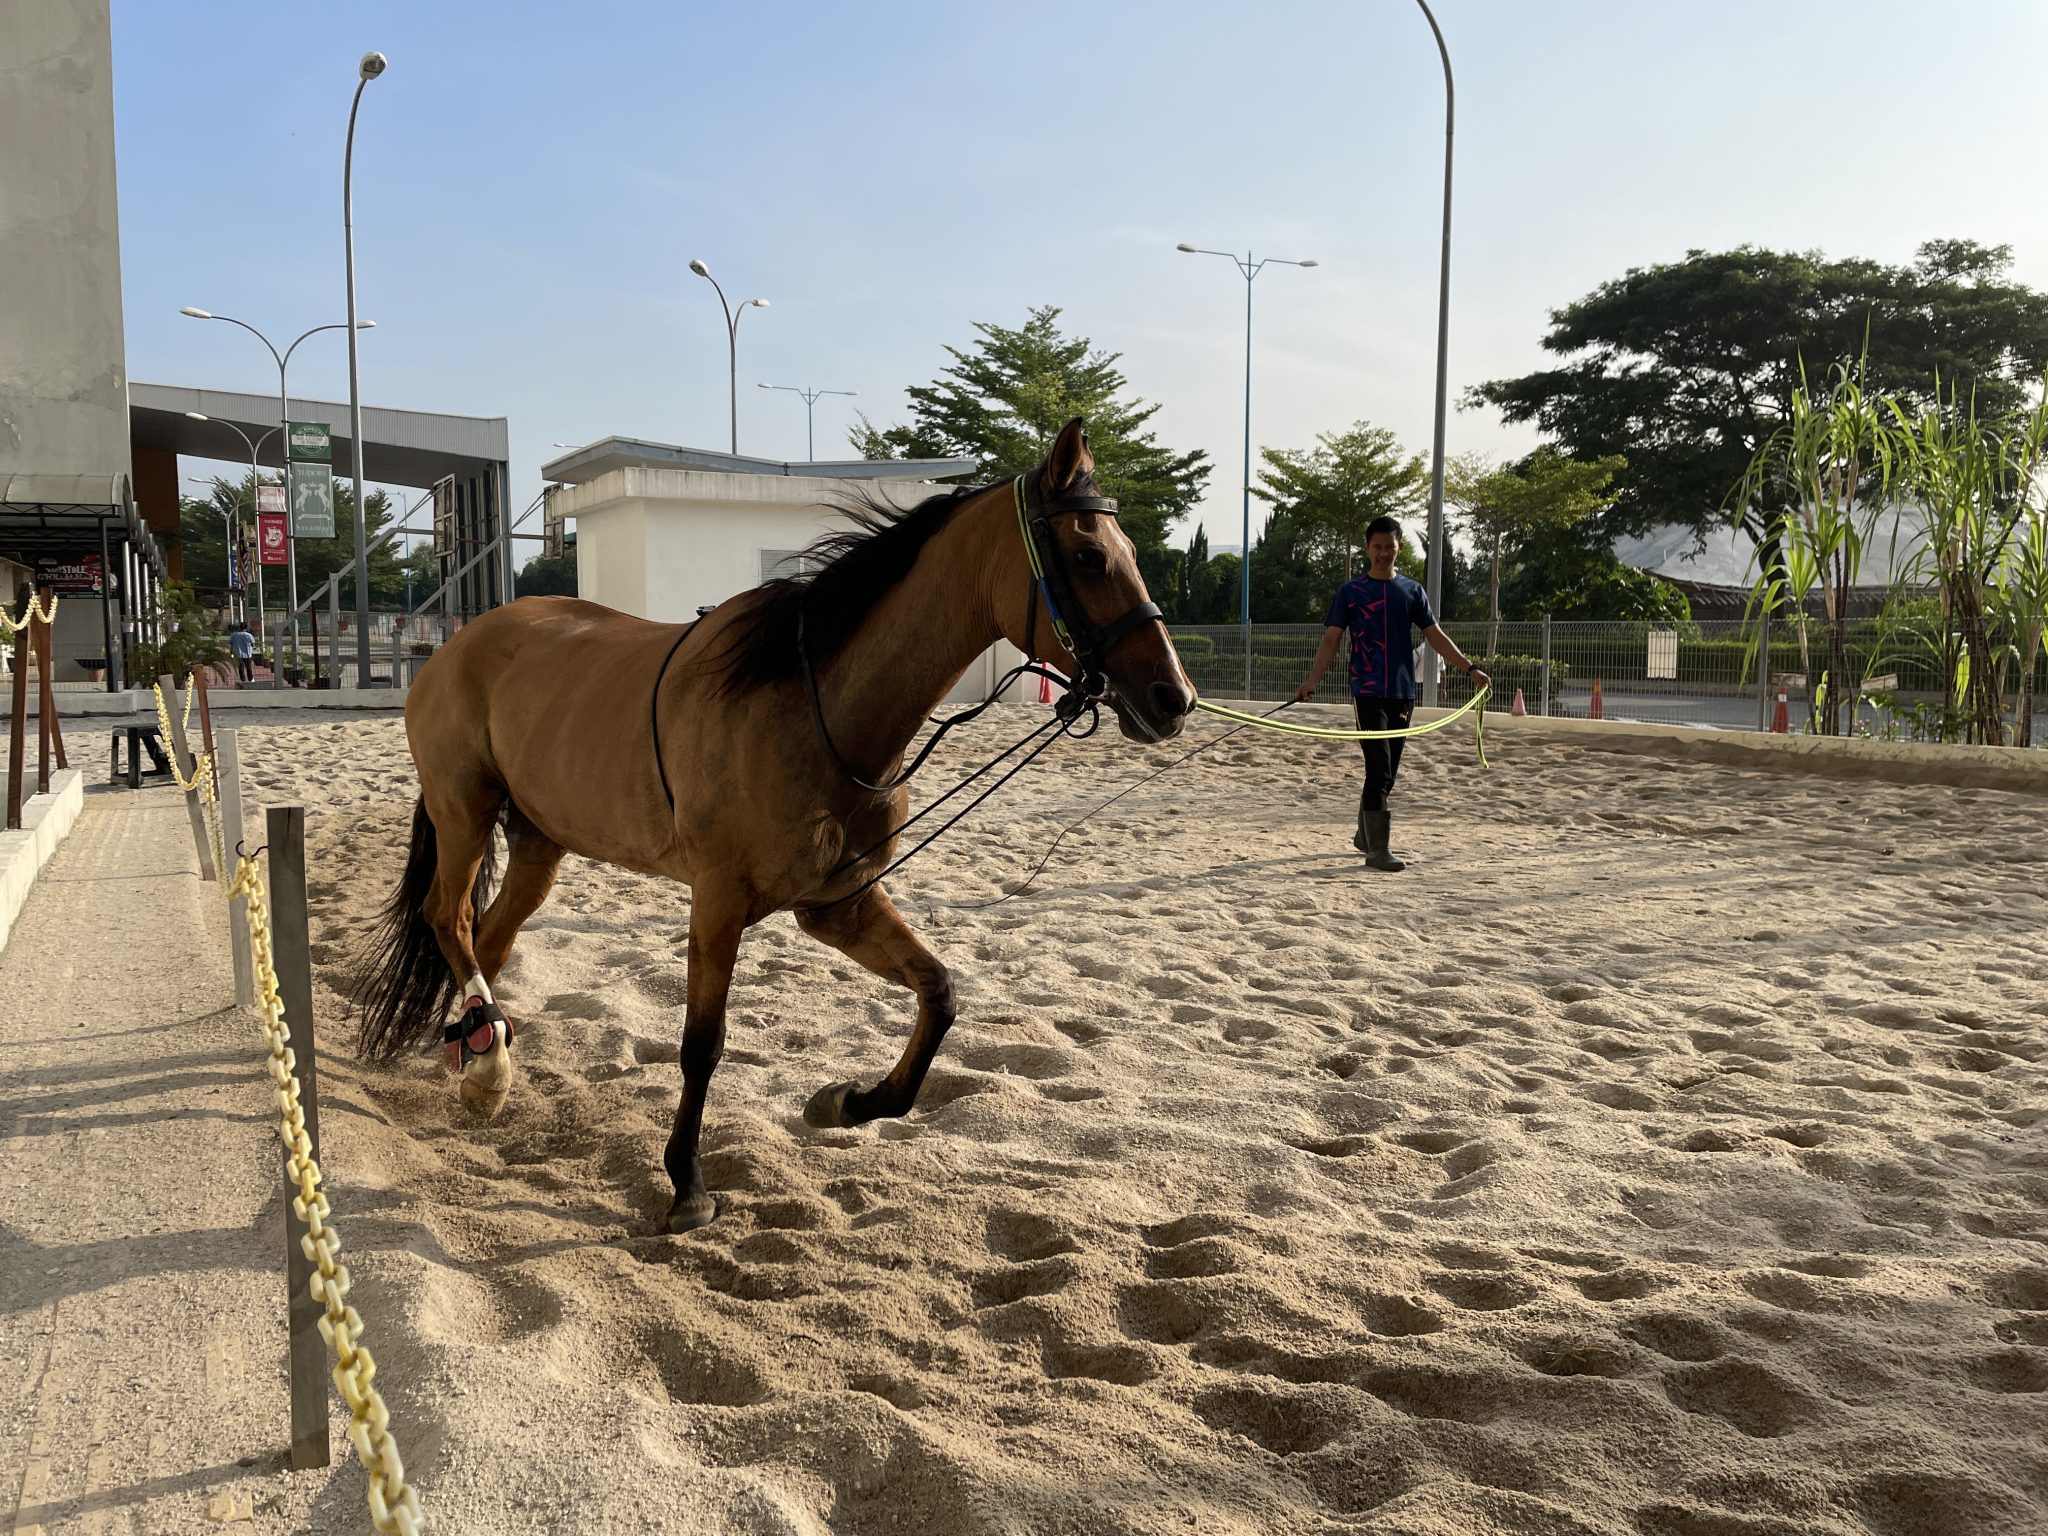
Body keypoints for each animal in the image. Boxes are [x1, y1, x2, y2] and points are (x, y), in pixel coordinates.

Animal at [350, 421, 1187, 1236]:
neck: (816, 708)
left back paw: (479, 1060)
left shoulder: (838, 906)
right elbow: (702, 1046)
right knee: (449, 920)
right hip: (464, 811)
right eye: (1088, 555)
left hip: (539, 842)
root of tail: (455, 646)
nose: (1172, 697)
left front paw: (850, 1101)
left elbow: (939, 993)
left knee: (487, 939)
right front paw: (687, 1183)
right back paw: (489, 1068)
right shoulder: (719, 900)